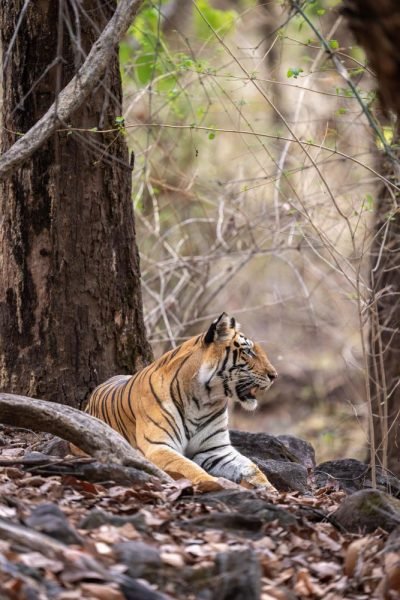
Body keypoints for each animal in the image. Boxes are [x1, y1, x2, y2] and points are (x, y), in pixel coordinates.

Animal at [85, 312, 278, 490]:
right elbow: (188, 466)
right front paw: (216, 484)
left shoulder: (216, 450)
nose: (274, 375)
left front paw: (271, 491)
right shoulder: (158, 446)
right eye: (248, 352)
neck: (203, 401)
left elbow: (252, 468)